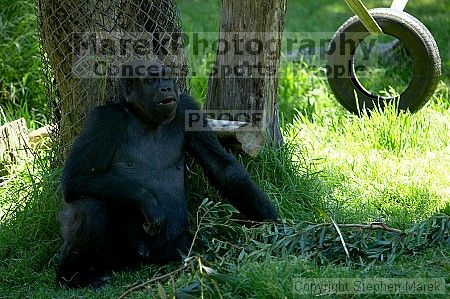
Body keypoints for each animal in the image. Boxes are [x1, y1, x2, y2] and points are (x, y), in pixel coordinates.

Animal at [54, 61, 276, 288]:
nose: (166, 88)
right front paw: (148, 202)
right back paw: (72, 275)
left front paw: (274, 225)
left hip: (178, 248)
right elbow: (77, 177)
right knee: (88, 204)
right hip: (113, 257)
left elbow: (223, 169)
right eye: (151, 80)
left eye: (167, 77)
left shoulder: (187, 108)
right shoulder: (105, 118)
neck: (143, 116)